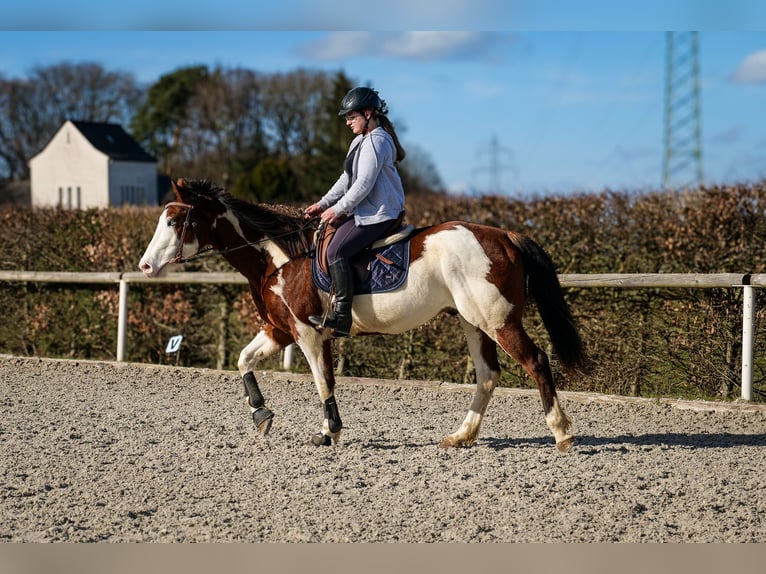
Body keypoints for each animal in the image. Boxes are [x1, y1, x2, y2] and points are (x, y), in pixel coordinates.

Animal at [138, 180, 584, 454]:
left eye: (174, 221)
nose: (144, 266)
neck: (279, 257)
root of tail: (505, 235)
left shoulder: (308, 334)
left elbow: (323, 382)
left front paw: (329, 432)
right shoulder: (280, 330)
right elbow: (243, 360)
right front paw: (262, 415)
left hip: (497, 321)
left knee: (536, 361)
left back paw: (561, 433)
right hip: (472, 322)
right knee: (488, 375)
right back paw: (462, 436)